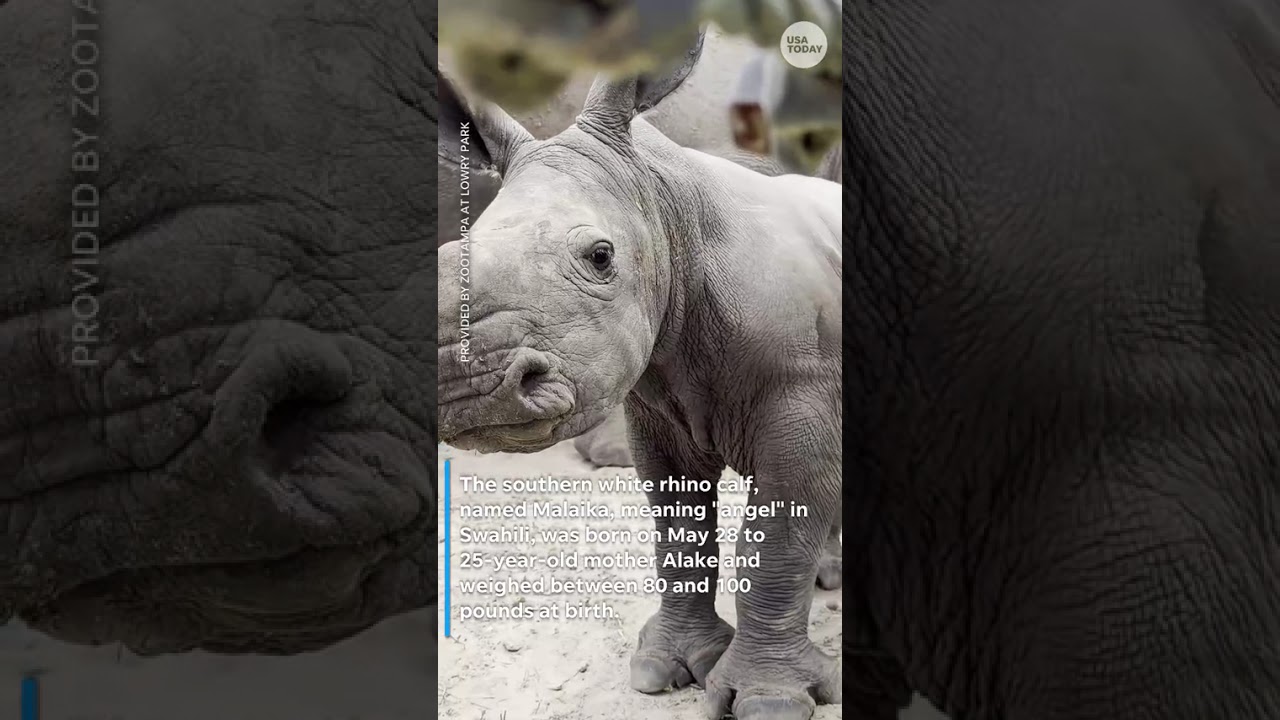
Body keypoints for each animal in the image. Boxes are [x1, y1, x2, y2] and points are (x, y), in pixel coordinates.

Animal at [436, 49, 843, 720]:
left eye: (601, 257)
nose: (471, 393)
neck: (668, 215)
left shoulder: (801, 393)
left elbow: (775, 543)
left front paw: (767, 702)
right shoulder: (656, 404)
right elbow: (678, 529)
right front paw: (668, 669)